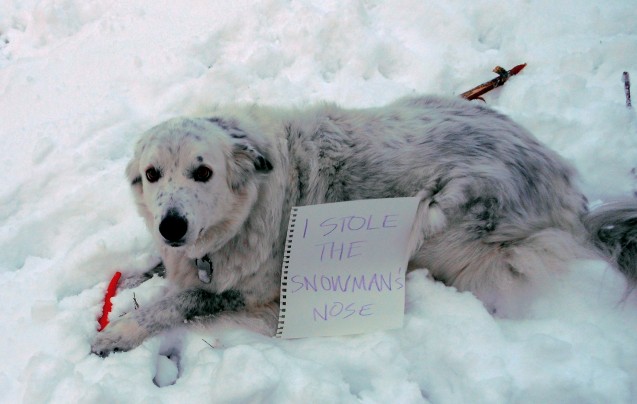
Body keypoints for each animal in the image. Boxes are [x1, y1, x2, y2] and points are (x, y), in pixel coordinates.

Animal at [89, 95, 636, 356]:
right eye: (152, 174)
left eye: (203, 173)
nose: (172, 225)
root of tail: (573, 199)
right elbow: (157, 270)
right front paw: (123, 279)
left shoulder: (253, 294)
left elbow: (176, 303)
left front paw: (118, 331)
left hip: (438, 217)